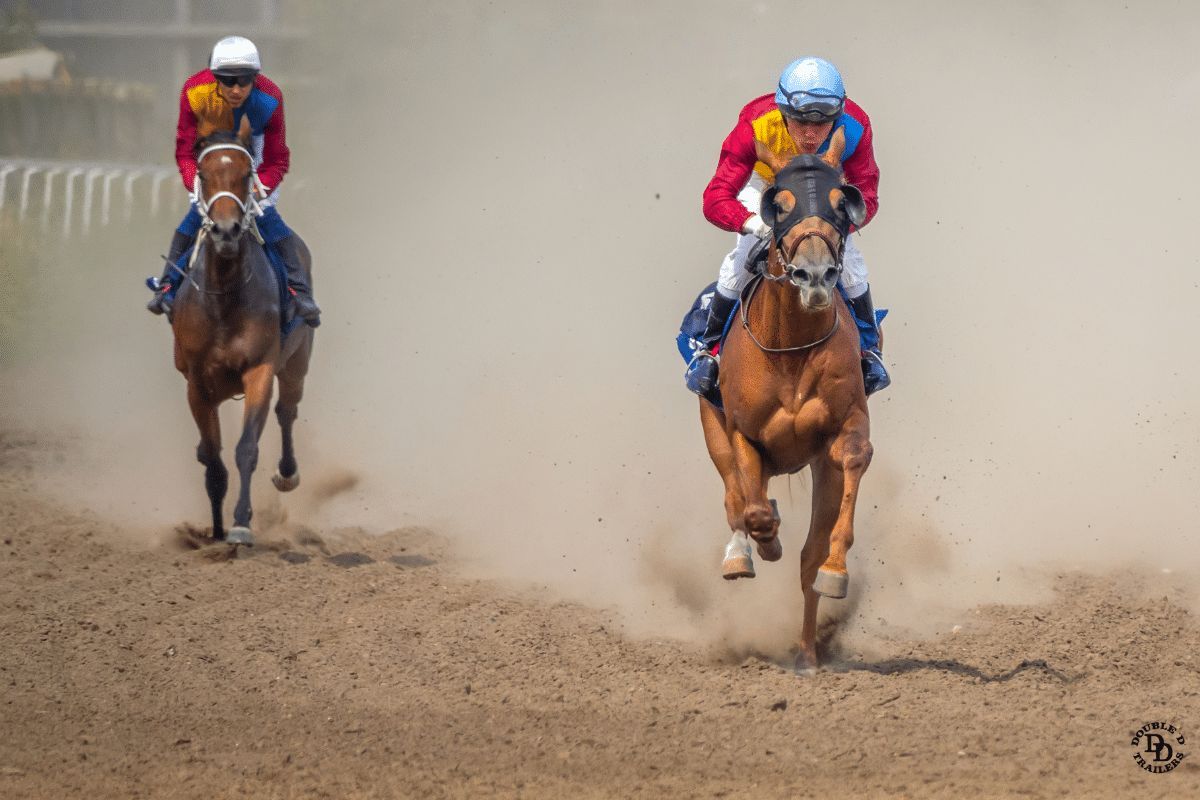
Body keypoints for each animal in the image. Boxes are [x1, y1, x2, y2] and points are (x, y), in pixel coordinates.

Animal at [170, 127, 316, 546]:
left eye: (246, 174)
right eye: (203, 175)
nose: (225, 230)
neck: (224, 297)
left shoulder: (259, 369)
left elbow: (245, 448)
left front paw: (239, 525)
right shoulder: (197, 382)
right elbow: (213, 457)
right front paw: (216, 531)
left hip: (298, 362)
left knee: (287, 411)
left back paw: (287, 473)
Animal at [700, 129, 873, 673]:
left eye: (842, 203)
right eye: (780, 205)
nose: (814, 275)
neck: (790, 348)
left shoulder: (844, 428)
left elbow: (854, 458)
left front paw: (835, 571)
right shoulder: (741, 434)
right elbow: (751, 509)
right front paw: (763, 539)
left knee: (805, 561)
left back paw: (807, 654)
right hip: (712, 429)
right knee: (734, 499)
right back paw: (742, 553)